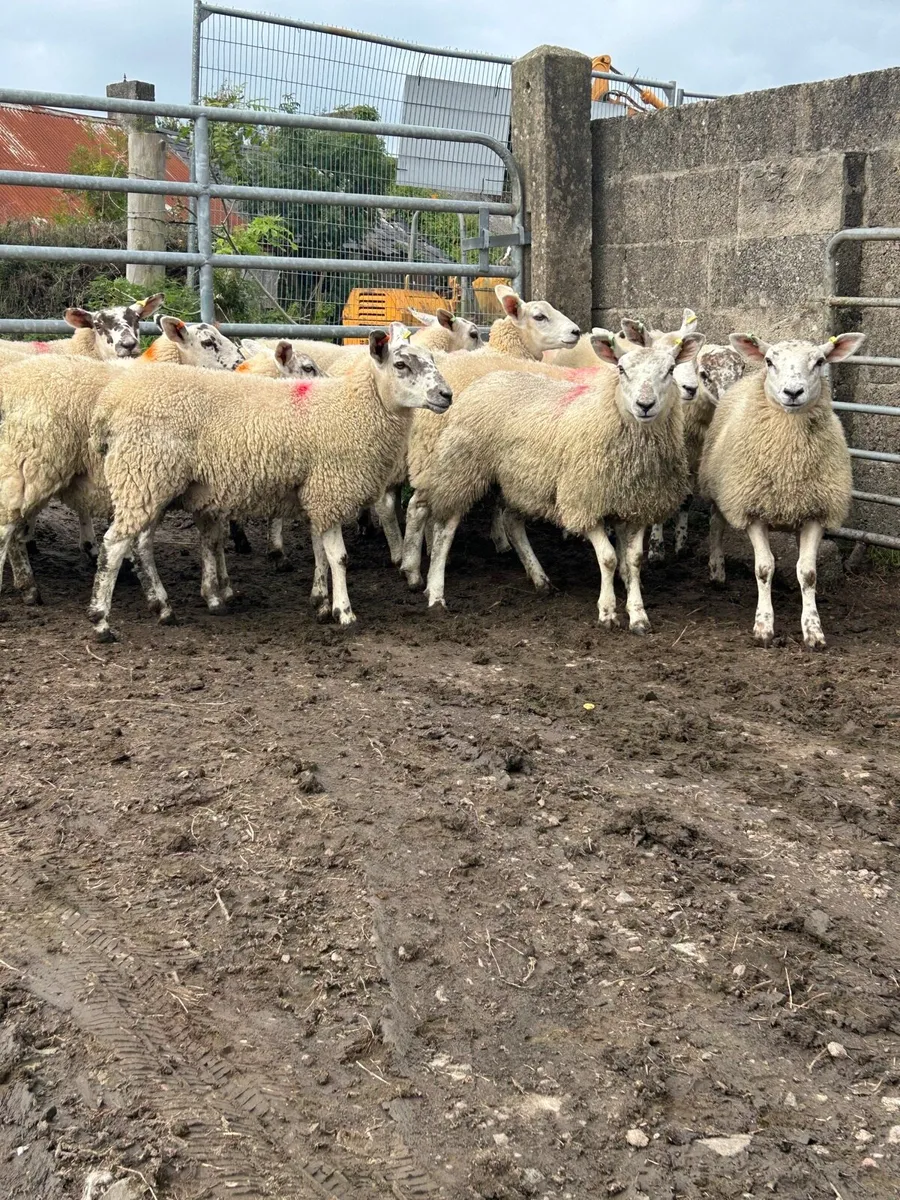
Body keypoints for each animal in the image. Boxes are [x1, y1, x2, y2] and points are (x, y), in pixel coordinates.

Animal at [85, 323, 453, 641]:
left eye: (433, 360)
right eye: (401, 364)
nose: (446, 394)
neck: (352, 408)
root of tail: (109, 406)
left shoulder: (315, 493)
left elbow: (320, 552)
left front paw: (321, 602)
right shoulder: (330, 489)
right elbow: (339, 557)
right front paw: (344, 612)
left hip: (150, 482)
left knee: (141, 544)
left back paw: (162, 607)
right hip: (144, 474)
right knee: (113, 546)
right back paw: (102, 621)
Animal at [408, 330, 702, 631]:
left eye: (670, 370)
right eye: (621, 369)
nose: (644, 405)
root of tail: (488, 380)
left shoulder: (637, 506)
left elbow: (633, 560)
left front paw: (638, 614)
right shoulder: (583, 503)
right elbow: (608, 558)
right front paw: (607, 611)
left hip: (520, 481)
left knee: (512, 523)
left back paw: (540, 578)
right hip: (461, 468)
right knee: (442, 528)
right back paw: (434, 592)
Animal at [698, 331, 864, 648]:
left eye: (820, 361)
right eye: (769, 361)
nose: (793, 392)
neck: (789, 463)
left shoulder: (816, 513)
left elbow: (808, 572)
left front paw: (813, 629)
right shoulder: (752, 511)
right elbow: (764, 569)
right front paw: (763, 627)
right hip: (718, 486)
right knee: (716, 524)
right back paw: (717, 570)